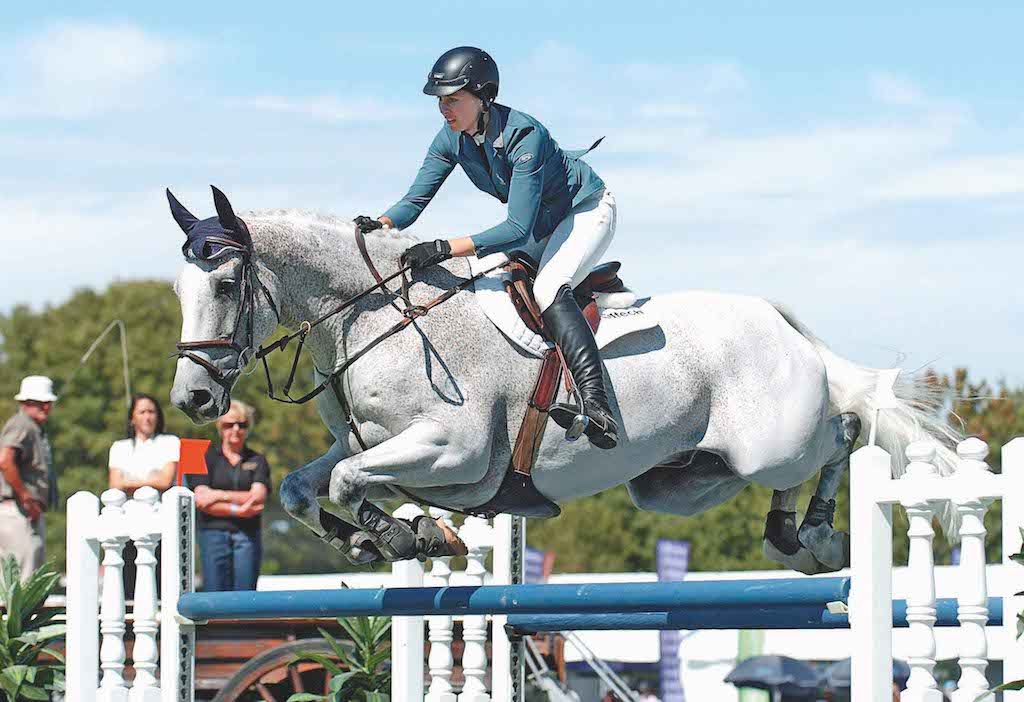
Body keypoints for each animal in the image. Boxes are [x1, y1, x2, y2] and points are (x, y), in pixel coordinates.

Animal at [167, 189, 958, 573]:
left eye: (229, 284)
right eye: (179, 288)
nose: (193, 399)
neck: (378, 315)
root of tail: (781, 322)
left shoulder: (453, 451)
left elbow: (343, 482)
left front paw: (405, 537)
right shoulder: (371, 445)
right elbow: (307, 486)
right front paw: (385, 541)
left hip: (775, 441)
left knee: (842, 434)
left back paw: (817, 537)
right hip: (685, 481)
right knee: (794, 466)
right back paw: (789, 538)